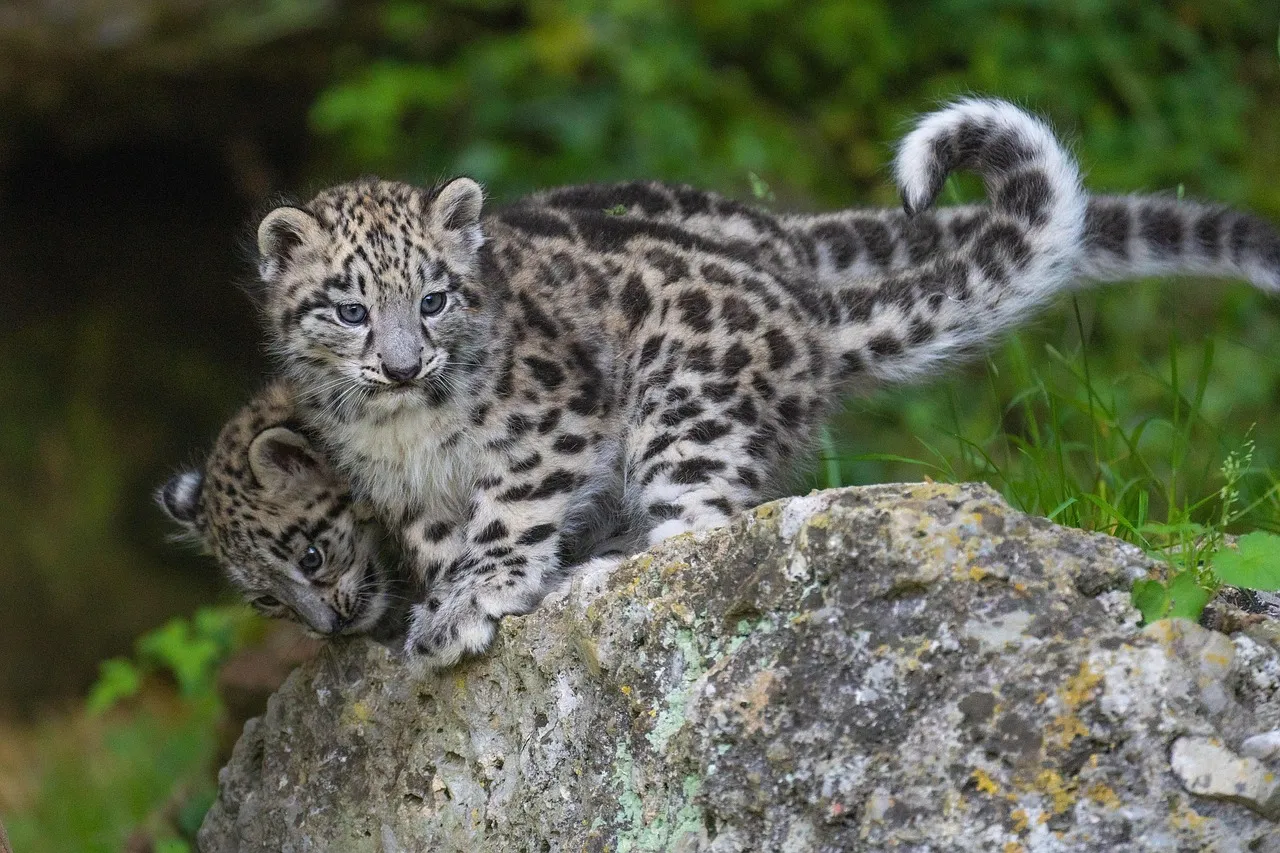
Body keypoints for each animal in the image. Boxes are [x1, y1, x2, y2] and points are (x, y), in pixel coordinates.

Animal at [204, 99, 1278, 666]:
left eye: (432, 299)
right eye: (350, 309)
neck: (398, 434)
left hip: (686, 414)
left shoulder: (551, 422)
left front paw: (477, 596)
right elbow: (439, 540)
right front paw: (437, 603)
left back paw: (605, 566)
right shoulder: (407, 493)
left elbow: (508, 513)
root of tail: (800, 304)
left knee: (702, 535)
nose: (401, 362)